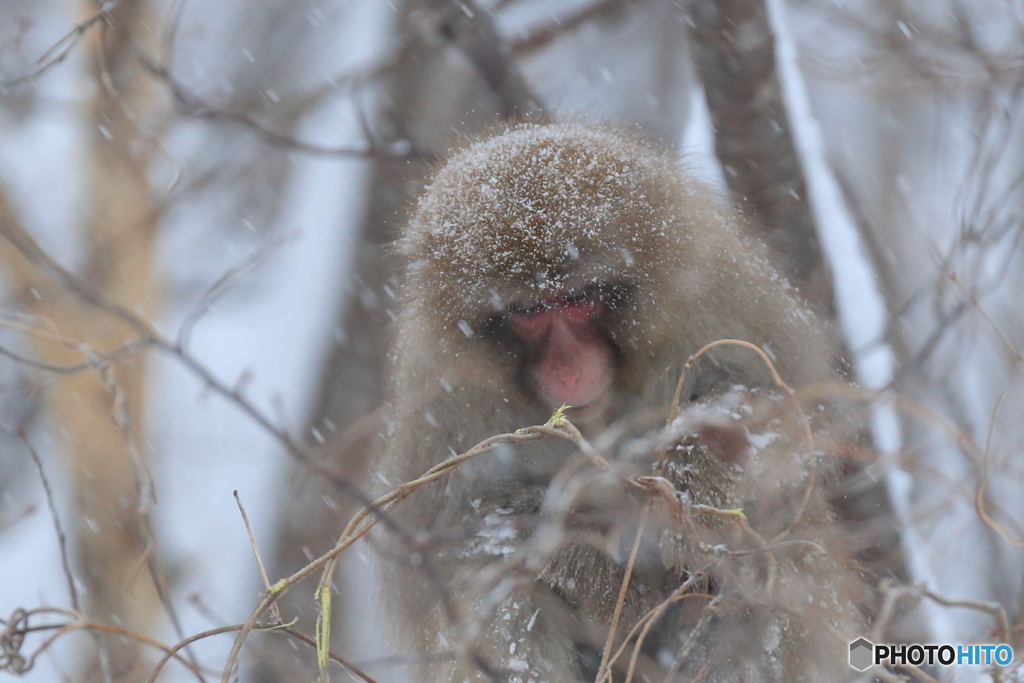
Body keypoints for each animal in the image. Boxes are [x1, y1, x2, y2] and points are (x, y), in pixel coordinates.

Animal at [376, 124, 864, 683]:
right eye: (529, 312)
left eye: (578, 300)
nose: (568, 367)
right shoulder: (441, 388)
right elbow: (454, 534)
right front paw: (613, 587)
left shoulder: (713, 291)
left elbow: (793, 414)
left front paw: (692, 487)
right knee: (501, 591)